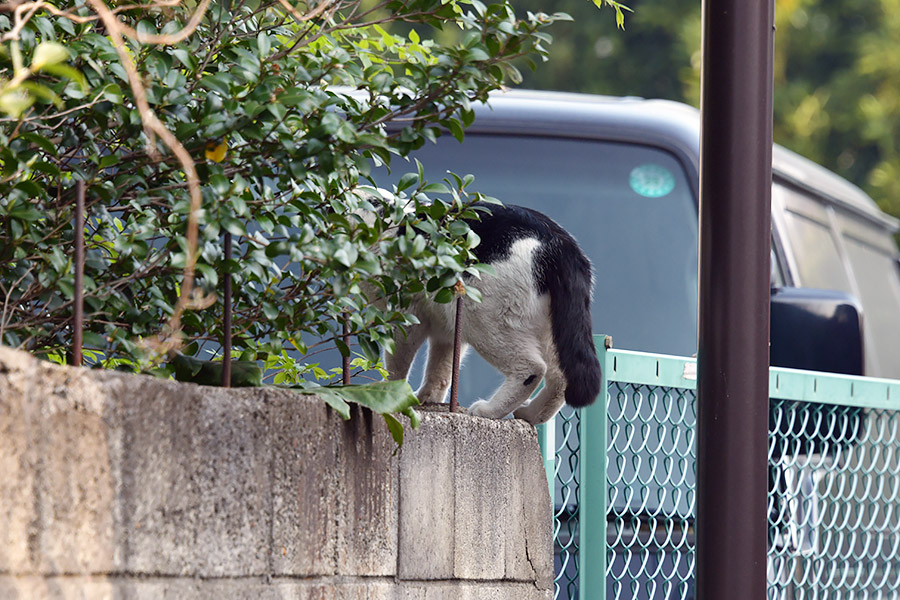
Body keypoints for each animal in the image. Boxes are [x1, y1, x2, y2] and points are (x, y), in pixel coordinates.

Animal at [384, 204, 600, 424]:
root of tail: (562, 245)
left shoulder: (404, 313)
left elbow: (397, 362)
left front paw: (393, 395)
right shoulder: (445, 332)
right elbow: (441, 369)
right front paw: (427, 398)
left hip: (480, 316)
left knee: (532, 369)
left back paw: (489, 410)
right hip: (550, 332)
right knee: (561, 378)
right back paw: (531, 413)